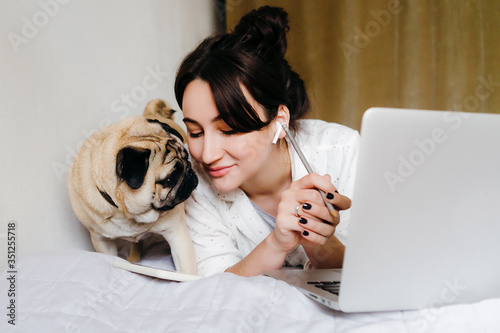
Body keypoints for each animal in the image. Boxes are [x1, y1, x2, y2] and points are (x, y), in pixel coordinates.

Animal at [67, 99, 199, 274]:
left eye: (187, 157)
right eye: (171, 178)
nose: (189, 172)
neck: (129, 214)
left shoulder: (176, 231)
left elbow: (186, 269)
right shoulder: (102, 240)